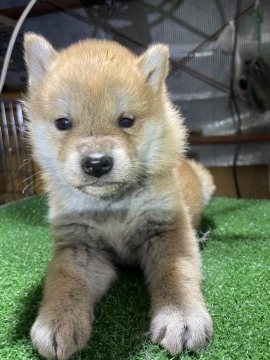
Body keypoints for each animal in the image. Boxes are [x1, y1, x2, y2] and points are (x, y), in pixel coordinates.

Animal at [24, 32, 216, 358]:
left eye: (126, 121)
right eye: (63, 123)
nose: (96, 162)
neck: (112, 208)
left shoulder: (166, 231)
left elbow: (176, 273)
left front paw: (181, 316)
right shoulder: (80, 247)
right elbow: (64, 280)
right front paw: (56, 321)